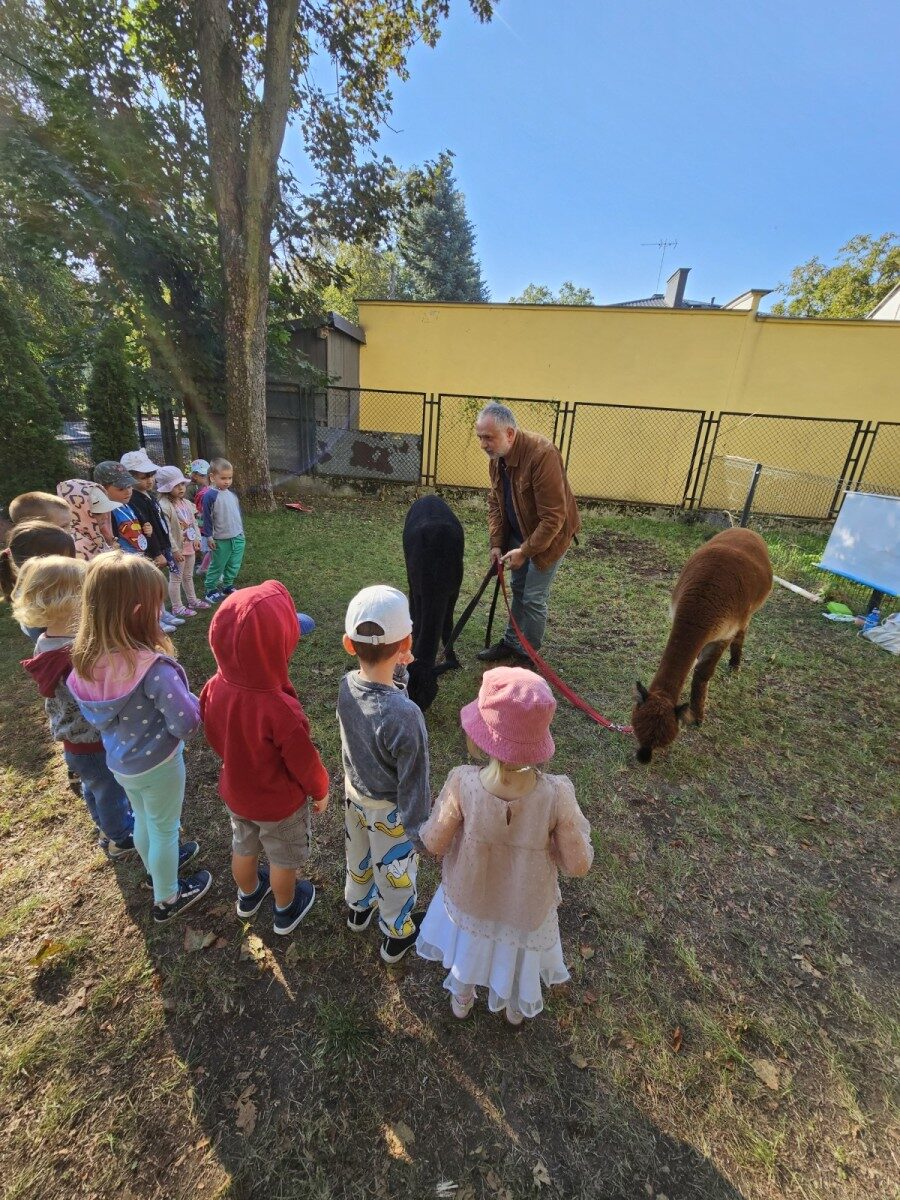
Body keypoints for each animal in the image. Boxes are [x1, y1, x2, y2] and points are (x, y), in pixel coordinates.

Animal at [403, 495, 465, 712]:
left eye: (427, 697)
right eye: (408, 693)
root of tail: (429, 496)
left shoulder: (453, 590)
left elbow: (448, 625)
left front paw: (451, 655)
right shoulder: (419, 589)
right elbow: (418, 620)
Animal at [632, 528, 772, 763]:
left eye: (663, 741)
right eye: (637, 729)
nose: (643, 758)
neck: (699, 608)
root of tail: (744, 529)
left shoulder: (724, 632)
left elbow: (703, 671)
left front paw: (697, 716)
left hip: (747, 613)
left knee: (742, 633)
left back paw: (735, 665)